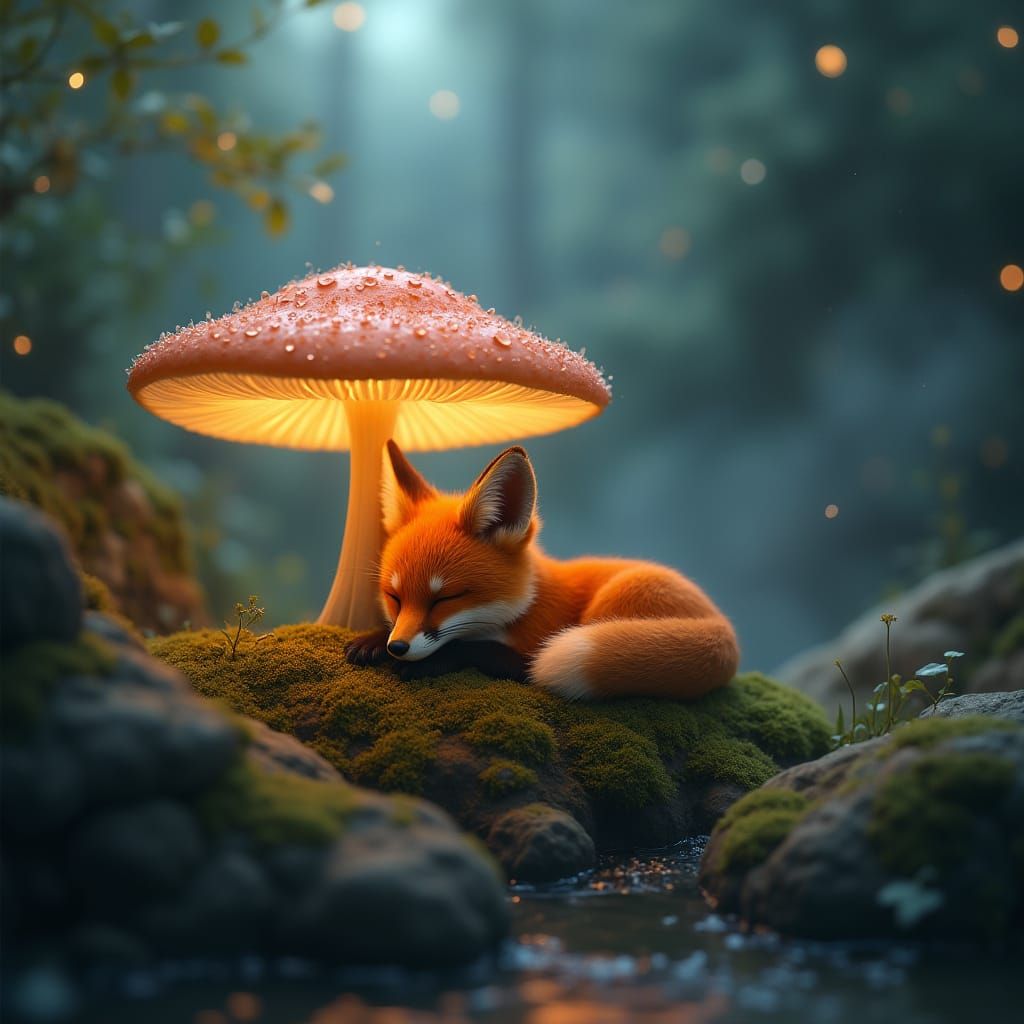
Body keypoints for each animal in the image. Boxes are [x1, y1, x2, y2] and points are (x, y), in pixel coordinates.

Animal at [345, 441, 740, 700]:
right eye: (393, 596)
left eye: (447, 597)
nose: (397, 647)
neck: (525, 607)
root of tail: (724, 629)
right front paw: (373, 640)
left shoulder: (531, 654)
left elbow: (474, 649)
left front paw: (429, 660)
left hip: (616, 600)